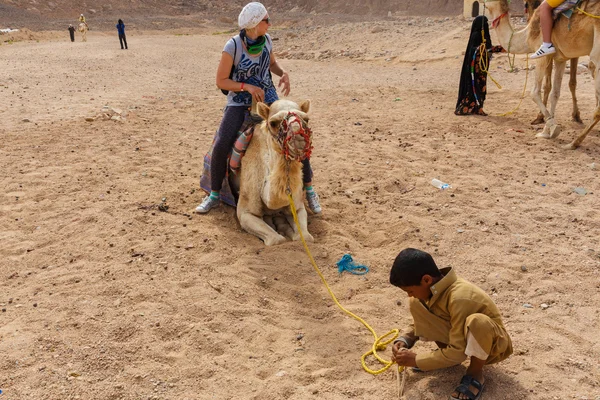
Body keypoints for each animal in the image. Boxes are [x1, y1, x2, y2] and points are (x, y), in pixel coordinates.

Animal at [236, 98, 316, 245]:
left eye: (306, 119)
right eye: (273, 123)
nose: (298, 139)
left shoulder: (298, 206)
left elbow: (305, 237)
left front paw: (288, 229)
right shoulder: (245, 213)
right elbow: (276, 239)